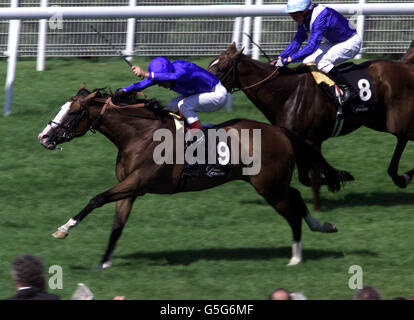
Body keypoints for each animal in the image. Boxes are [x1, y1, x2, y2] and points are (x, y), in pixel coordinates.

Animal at [37, 87, 348, 268]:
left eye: (74, 112)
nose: (44, 137)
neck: (138, 136)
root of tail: (281, 131)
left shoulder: (138, 182)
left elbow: (96, 198)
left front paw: (64, 228)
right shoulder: (131, 189)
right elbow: (117, 226)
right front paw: (104, 262)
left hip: (268, 187)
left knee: (292, 212)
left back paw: (296, 256)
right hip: (273, 184)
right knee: (295, 197)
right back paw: (323, 226)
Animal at [209, 43, 414, 212]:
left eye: (221, 68)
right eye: (211, 63)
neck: (287, 93)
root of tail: (406, 66)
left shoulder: (312, 140)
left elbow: (313, 177)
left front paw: (324, 197)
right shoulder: (299, 140)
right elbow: (306, 178)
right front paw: (337, 178)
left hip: (396, 122)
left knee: (403, 137)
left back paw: (402, 177)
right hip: (378, 121)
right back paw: (402, 177)